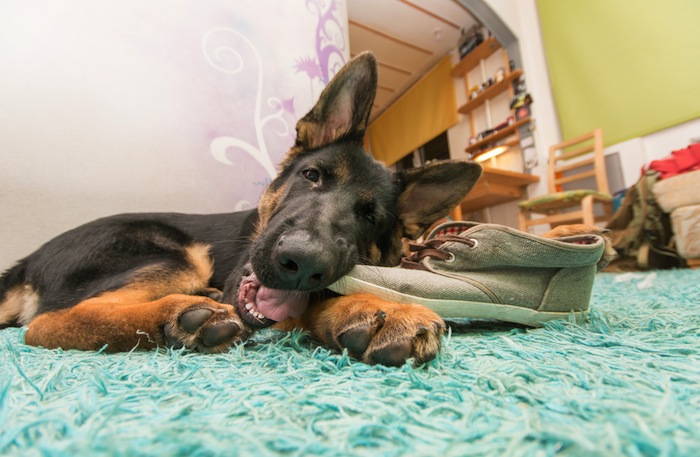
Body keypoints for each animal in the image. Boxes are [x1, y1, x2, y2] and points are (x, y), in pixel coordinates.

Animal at [0, 52, 484, 366]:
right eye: (313, 176)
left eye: (371, 218)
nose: (302, 264)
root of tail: (28, 260)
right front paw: (378, 307)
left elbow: (314, 300)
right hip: (178, 254)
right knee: (45, 323)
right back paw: (178, 315)